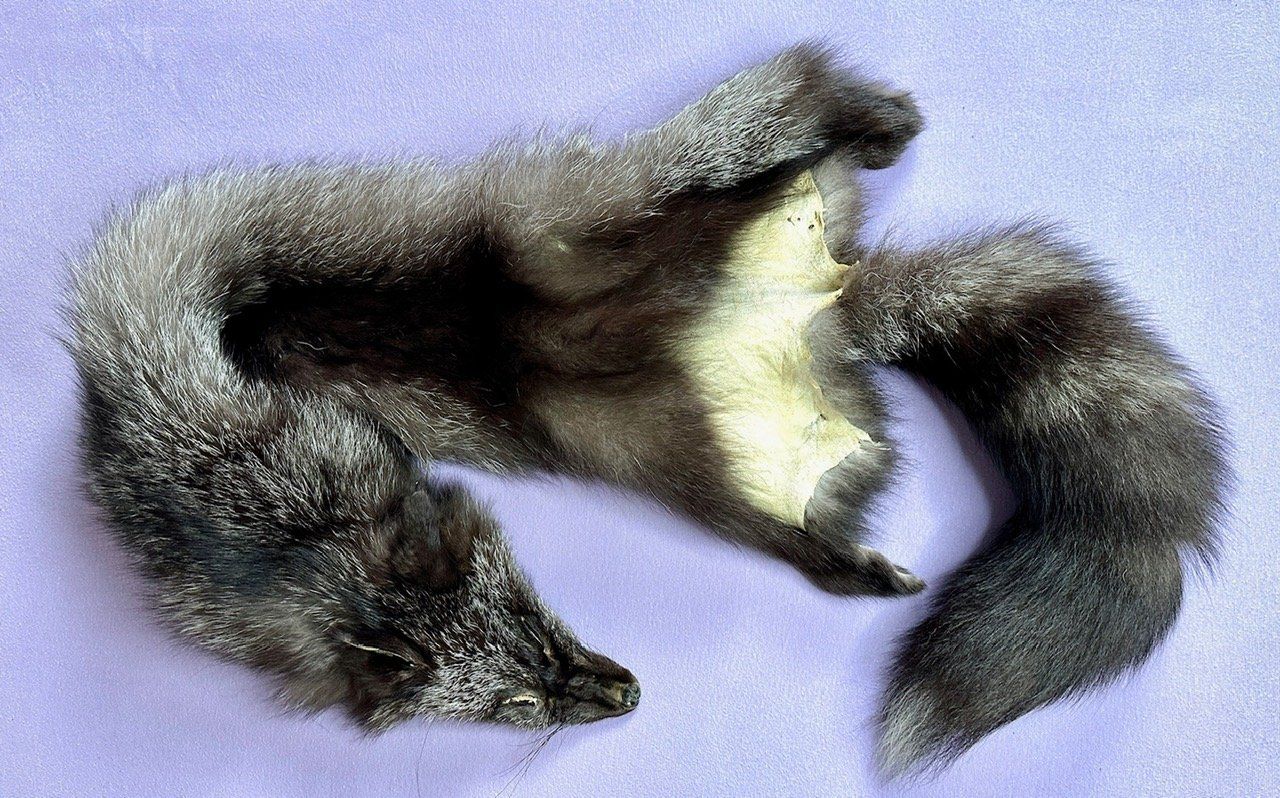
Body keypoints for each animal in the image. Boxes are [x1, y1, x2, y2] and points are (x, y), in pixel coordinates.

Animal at [66, 43, 1227, 775]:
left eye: (534, 616)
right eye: (513, 708)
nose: (621, 696)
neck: (287, 553)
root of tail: (822, 313)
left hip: (653, 187)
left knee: (791, 93)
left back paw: (868, 116)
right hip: (727, 480)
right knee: (799, 532)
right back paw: (848, 564)